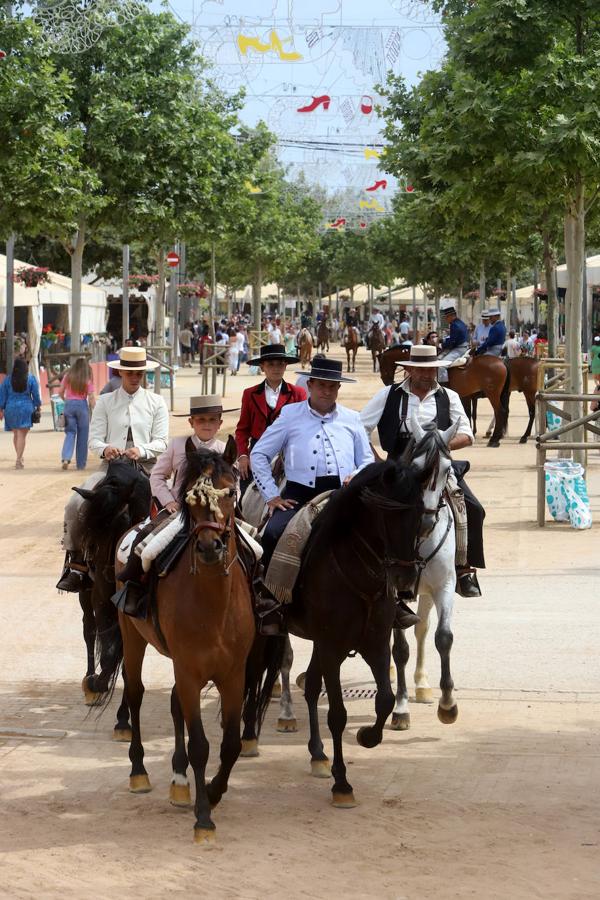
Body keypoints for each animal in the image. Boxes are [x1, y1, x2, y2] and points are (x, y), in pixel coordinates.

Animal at [378, 348, 508, 446]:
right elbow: (467, 413)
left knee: (499, 412)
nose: (386, 381)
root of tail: (501, 361)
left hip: (492, 393)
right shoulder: (466, 396)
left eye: (382, 364)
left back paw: (494, 439)